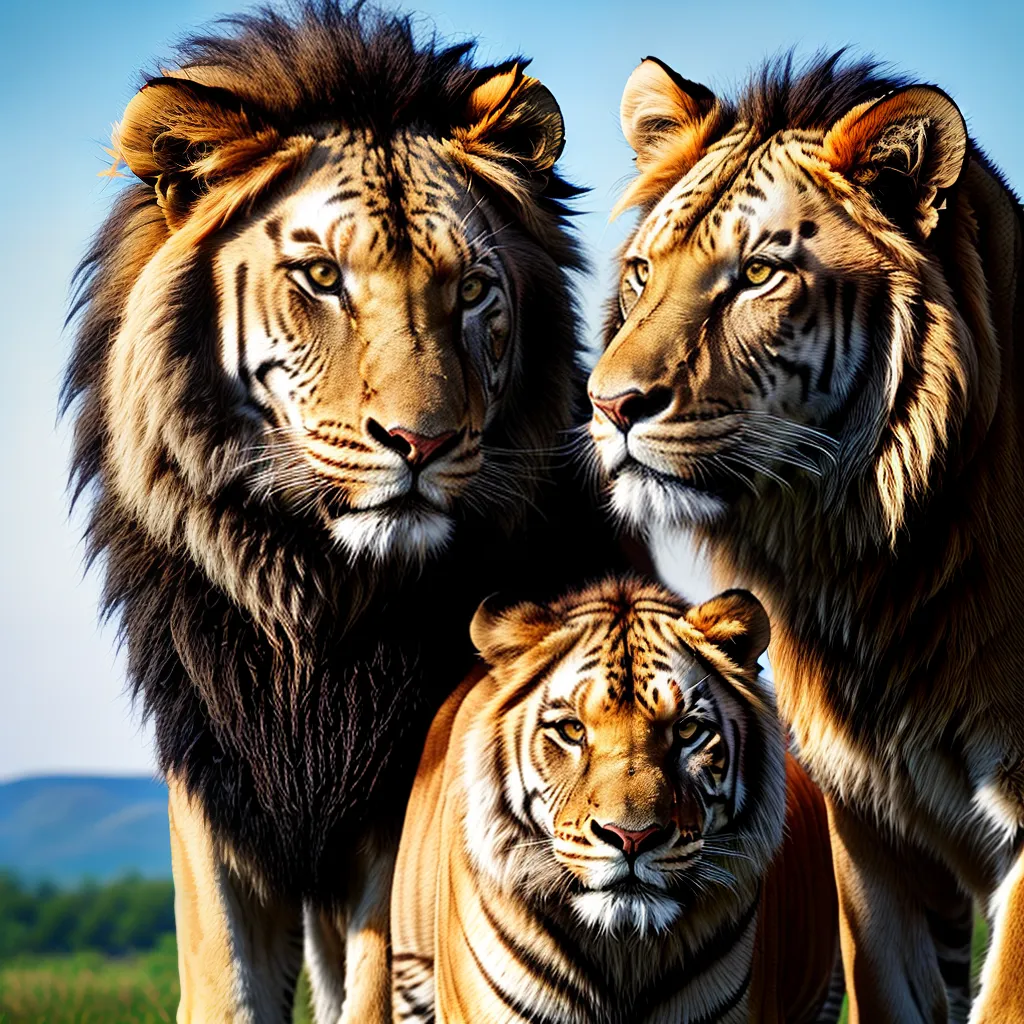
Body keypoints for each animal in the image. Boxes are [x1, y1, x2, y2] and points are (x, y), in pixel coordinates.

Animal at [62, 4, 625, 1021]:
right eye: (322, 277)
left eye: (472, 290)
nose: (421, 443)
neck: (313, 596)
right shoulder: (217, 789)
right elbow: (226, 986)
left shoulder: (398, 813)